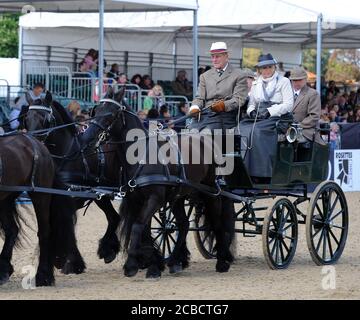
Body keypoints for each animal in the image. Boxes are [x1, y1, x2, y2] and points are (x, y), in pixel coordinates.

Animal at [0, 131, 54, 286]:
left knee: (44, 232)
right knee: (12, 230)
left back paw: (43, 276)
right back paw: (3, 270)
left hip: (41, 196)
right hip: (5, 198)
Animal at [25, 91, 122, 274]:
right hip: (102, 195)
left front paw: (72, 263)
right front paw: (57, 259)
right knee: (114, 217)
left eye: (45, 119)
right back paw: (108, 251)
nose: (32, 142)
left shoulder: (70, 199)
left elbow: (68, 227)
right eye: (26, 118)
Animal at [92, 87, 233, 278]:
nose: (91, 135)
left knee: (217, 223)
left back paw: (222, 261)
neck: (142, 156)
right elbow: (144, 230)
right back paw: (174, 261)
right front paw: (152, 264)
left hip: (209, 191)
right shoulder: (136, 199)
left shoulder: (154, 199)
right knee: (183, 224)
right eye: (95, 111)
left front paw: (132, 265)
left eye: (110, 114)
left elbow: (137, 226)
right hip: (178, 196)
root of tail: (205, 139)